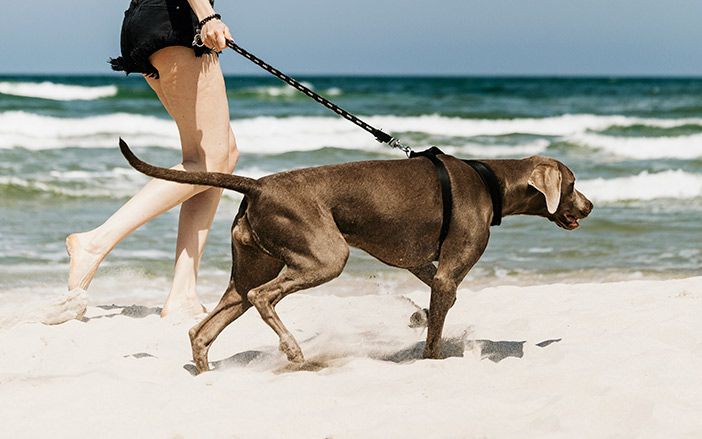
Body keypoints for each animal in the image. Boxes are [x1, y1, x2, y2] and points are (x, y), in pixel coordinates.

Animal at [119, 139, 592, 372]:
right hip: (325, 256)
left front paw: (418, 314)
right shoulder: (445, 270)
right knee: (263, 297)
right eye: (571, 184)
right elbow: (437, 328)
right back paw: (293, 351)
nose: (589, 207)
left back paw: (206, 372)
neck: (490, 179)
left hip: (250, 267)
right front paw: (433, 358)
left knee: (205, 326)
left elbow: (436, 294)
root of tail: (256, 185)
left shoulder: (416, 260)